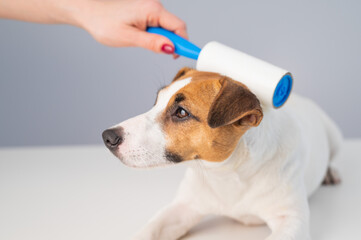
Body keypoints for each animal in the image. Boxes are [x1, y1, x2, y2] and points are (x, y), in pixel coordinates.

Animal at [100, 67, 340, 240]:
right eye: (156, 101)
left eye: (181, 112)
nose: (107, 136)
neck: (227, 173)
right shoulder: (182, 208)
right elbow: (150, 229)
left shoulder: (291, 220)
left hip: (334, 135)